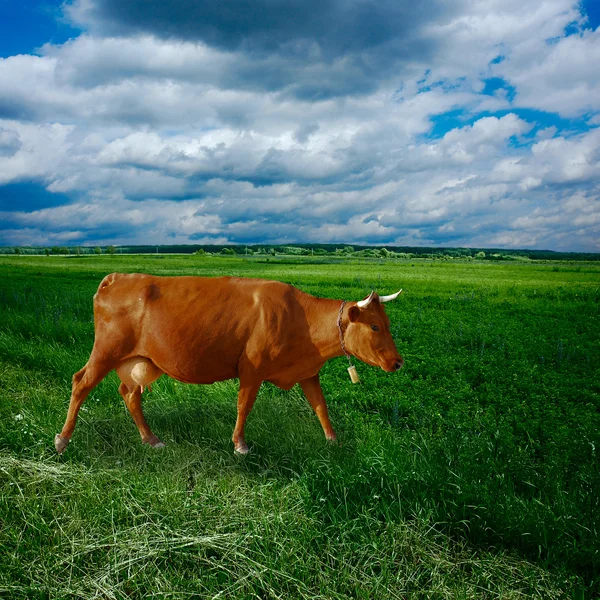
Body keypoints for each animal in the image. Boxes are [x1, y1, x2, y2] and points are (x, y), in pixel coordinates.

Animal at [56, 274, 404, 454]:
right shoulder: (252, 368)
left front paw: (333, 441)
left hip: (137, 359)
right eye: (375, 326)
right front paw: (240, 444)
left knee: (129, 393)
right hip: (107, 350)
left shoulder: (307, 372)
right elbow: (244, 405)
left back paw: (151, 439)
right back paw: (62, 440)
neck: (300, 318)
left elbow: (320, 406)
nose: (398, 362)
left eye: (387, 323)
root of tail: (118, 277)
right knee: (81, 382)